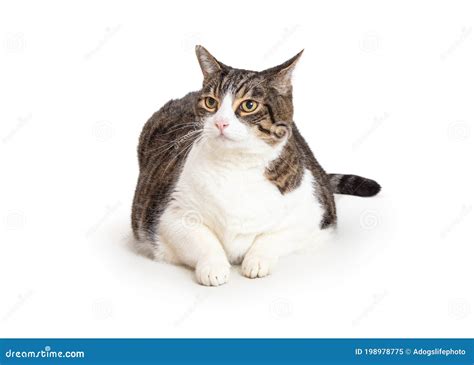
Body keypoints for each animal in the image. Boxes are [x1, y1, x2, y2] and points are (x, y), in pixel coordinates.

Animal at [131, 44, 382, 284]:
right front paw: (214, 266)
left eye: (249, 105)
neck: (235, 166)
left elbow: (273, 236)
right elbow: (202, 240)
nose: (221, 123)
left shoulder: (315, 212)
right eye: (211, 102)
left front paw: (257, 260)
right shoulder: (168, 214)